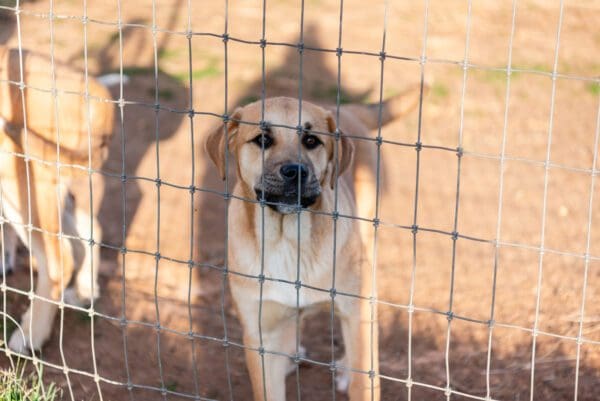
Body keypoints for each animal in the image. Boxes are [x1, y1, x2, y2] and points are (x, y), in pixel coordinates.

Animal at [0, 46, 114, 354]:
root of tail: (96, 93)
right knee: (91, 231)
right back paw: (86, 291)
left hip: (22, 188)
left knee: (58, 260)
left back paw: (29, 336)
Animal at [206, 86, 422, 396]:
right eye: (262, 139)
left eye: (311, 141)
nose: (295, 171)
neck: (287, 242)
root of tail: (348, 110)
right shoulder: (260, 334)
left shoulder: (355, 314)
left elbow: (364, 382)